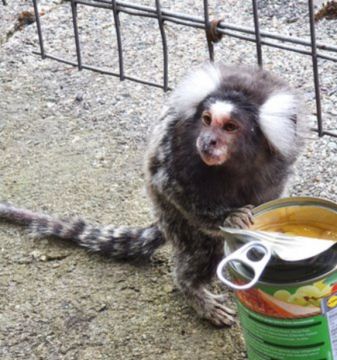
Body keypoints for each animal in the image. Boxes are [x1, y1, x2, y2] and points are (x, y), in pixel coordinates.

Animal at [0, 63, 304, 328]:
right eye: (206, 120)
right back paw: (194, 290)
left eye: (230, 127)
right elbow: (172, 185)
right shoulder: (176, 148)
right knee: (201, 247)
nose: (208, 142)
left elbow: (272, 197)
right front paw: (229, 218)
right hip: (170, 215)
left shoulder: (277, 165)